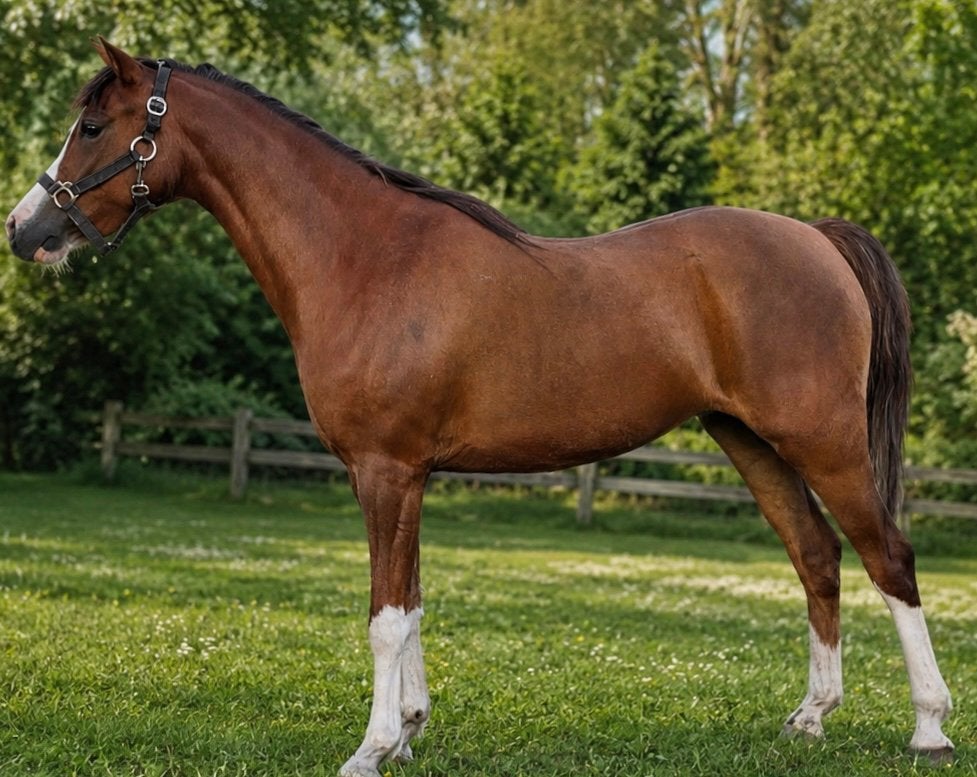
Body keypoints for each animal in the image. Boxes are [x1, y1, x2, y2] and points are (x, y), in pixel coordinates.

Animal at [5, 39, 954, 774]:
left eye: (94, 127)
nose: (24, 229)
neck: (363, 256)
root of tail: (815, 236)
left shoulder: (386, 470)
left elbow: (385, 616)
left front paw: (369, 747)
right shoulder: (406, 475)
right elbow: (413, 602)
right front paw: (407, 732)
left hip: (823, 441)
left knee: (889, 558)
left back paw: (929, 727)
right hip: (750, 441)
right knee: (817, 556)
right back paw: (810, 716)